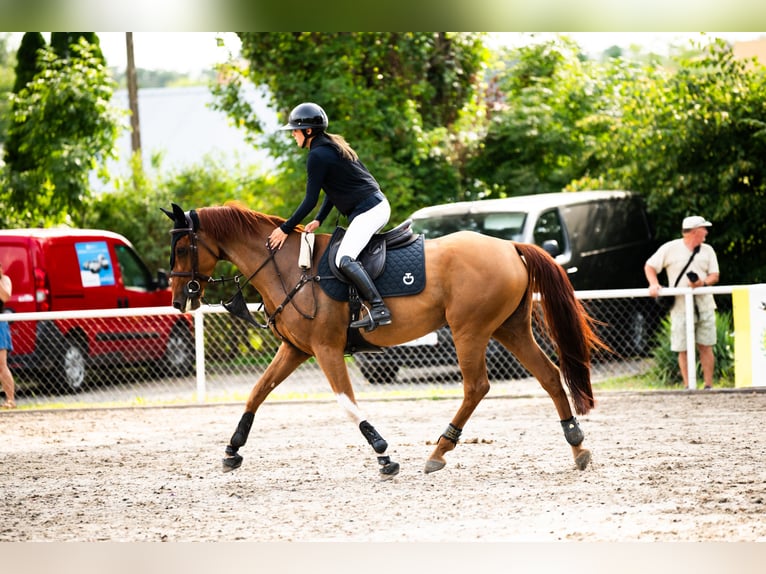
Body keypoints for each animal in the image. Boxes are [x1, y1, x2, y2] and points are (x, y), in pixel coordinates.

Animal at [162, 202, 604, 479]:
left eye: (182, 248)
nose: (179, 300)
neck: (288, 268)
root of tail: (511, 246)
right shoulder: (296, 350)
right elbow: (257, 392)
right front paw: (232, 449)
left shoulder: (325, 350)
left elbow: (346, 403)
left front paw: (383, 454)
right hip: (509, 328)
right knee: (549, 376)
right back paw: (577, 446)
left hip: (471, 331)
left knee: (477, 386)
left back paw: (439, 451)